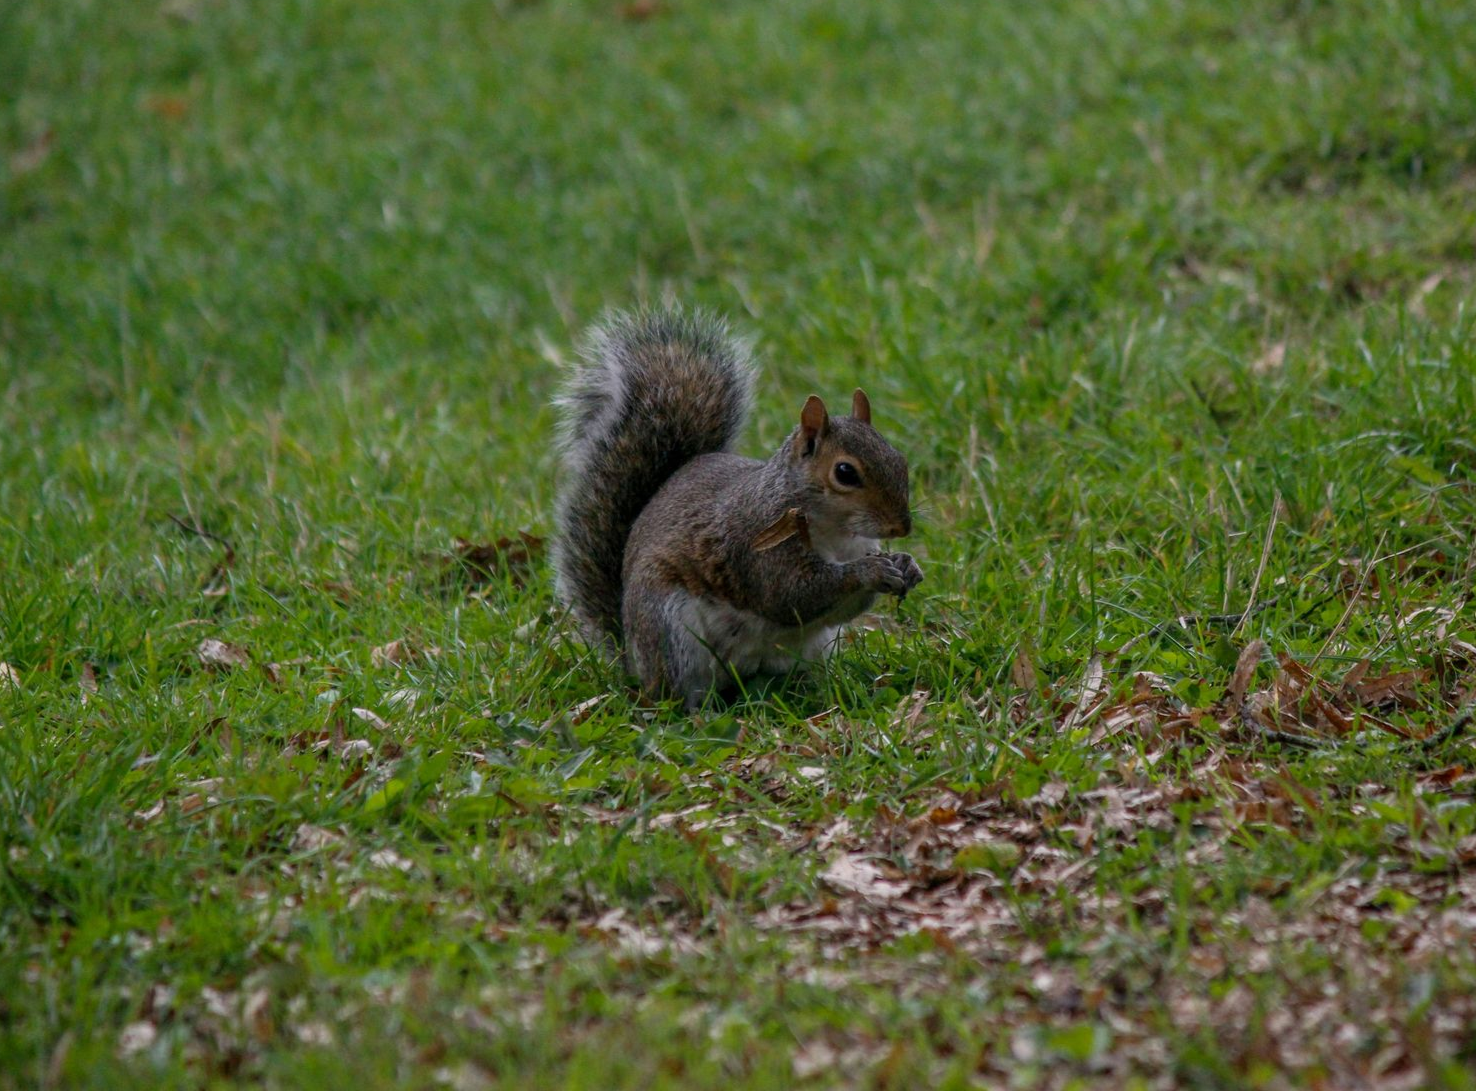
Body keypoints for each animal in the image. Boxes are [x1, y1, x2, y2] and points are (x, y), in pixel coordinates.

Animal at [552, 307, 923, 710]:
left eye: (899, 458)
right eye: (845, 472)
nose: (902, 527)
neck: (837, 533)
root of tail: (633, 662)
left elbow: (843, 607)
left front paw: (906, 564)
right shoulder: (757, 545)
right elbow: (793, 595)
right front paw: (870, 570)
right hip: (672, 633)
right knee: (678, 694)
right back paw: (700, 711)